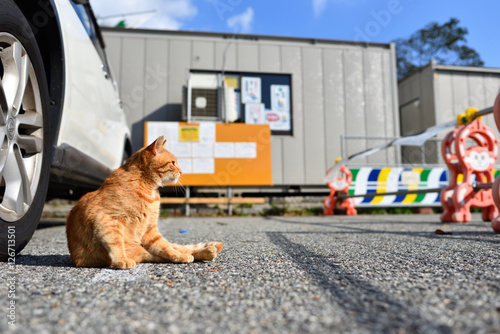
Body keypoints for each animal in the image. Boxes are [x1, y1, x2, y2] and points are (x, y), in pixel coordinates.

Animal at [66, 136, 223, 268]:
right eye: (173, 163)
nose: (181, 172)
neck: (149, 190)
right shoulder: (108, 219)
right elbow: (115, 242)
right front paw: (121, 260)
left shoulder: (150, 229)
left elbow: (166, 248)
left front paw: (180, 255)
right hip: (139, 251)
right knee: (160, 254)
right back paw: (206, 252)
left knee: (176, 247)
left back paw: (209, 250)